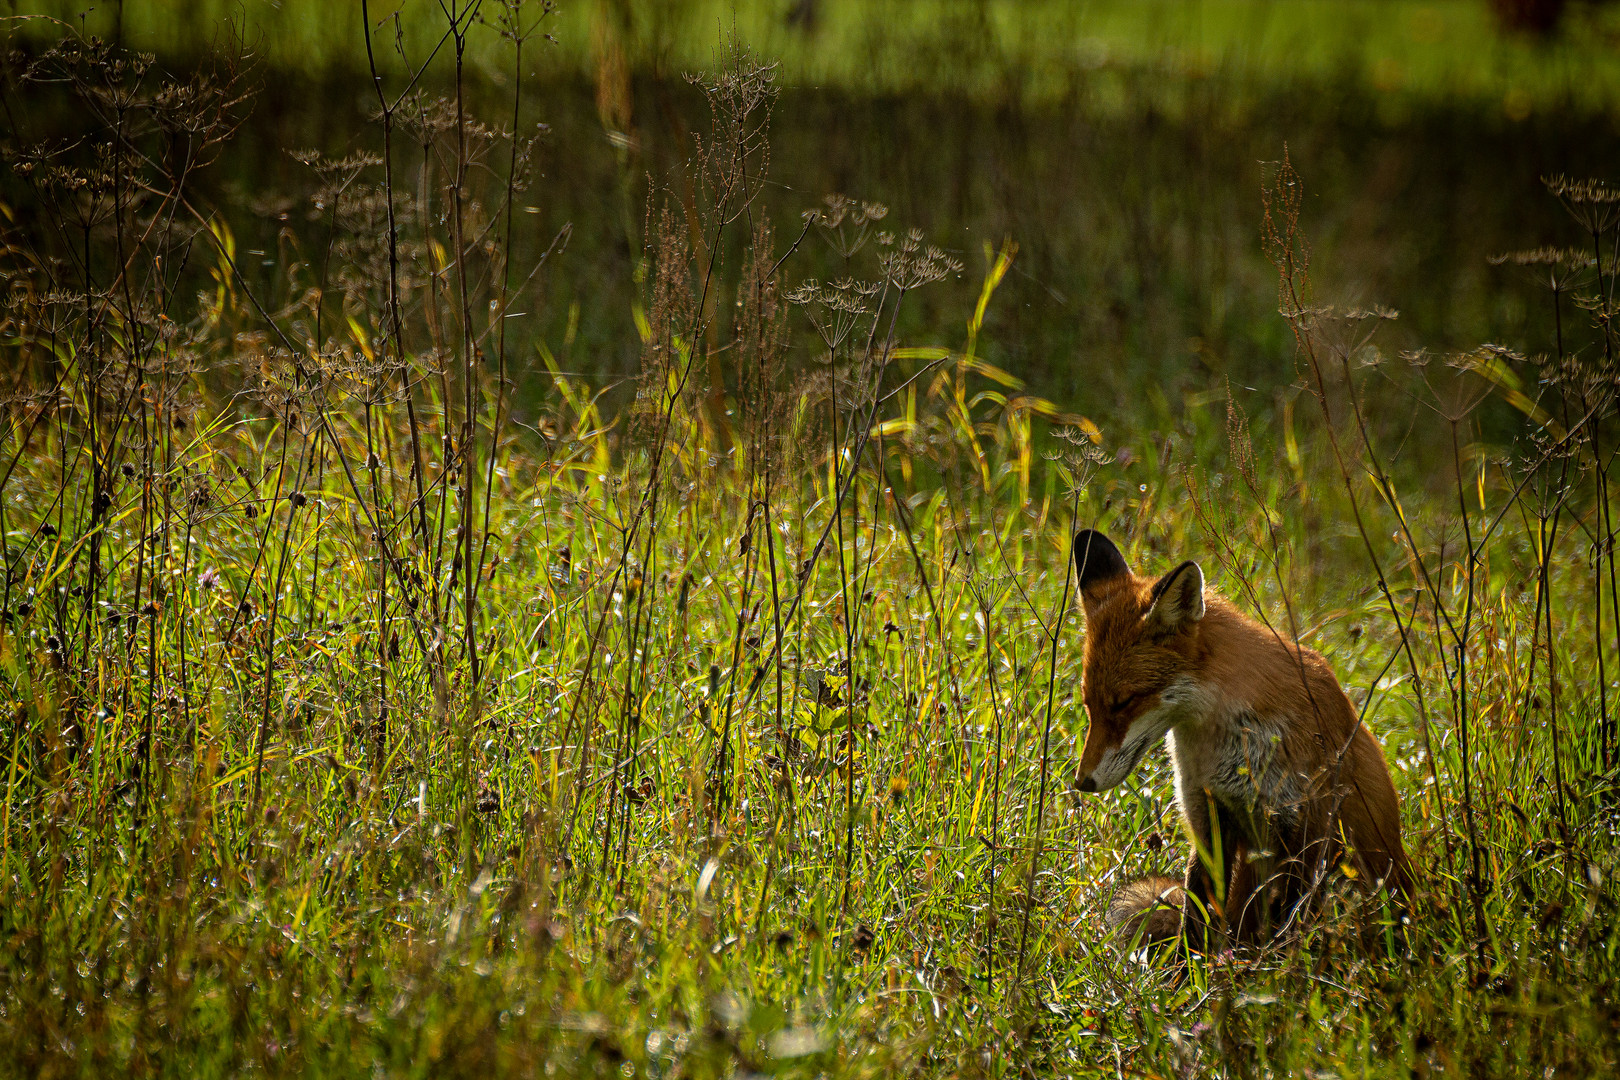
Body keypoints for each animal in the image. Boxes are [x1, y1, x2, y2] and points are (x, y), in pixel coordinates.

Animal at [1075, 527, 1406, 952]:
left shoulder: (1305, 829)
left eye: (1123, 702)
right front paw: (1191, 971)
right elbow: (1194, 919)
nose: (1082, 782)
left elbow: (1291, 929)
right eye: (1089, 703)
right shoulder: (1207, 817)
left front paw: (1281, 968)